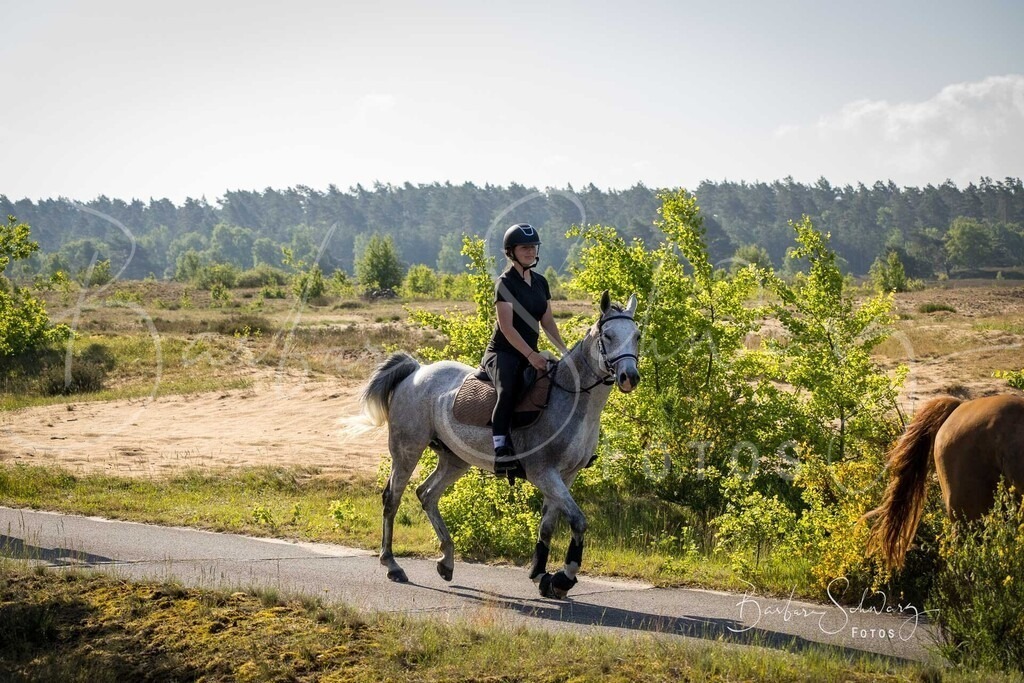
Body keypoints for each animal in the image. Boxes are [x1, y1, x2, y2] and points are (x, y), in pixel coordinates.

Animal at [356, 290, 641, 598]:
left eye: (637, 335)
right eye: (608, 335)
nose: (629, 377)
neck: (572, 398)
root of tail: (416, 371)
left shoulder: (566, 476)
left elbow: (547, 526)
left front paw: (540, 575)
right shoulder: (544, 473)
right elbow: (577, 521)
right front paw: (564, 578)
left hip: (455, 459)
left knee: (427, 494)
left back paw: (446, 561)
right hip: (407, 449)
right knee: (392, 498)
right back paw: (392, 564)